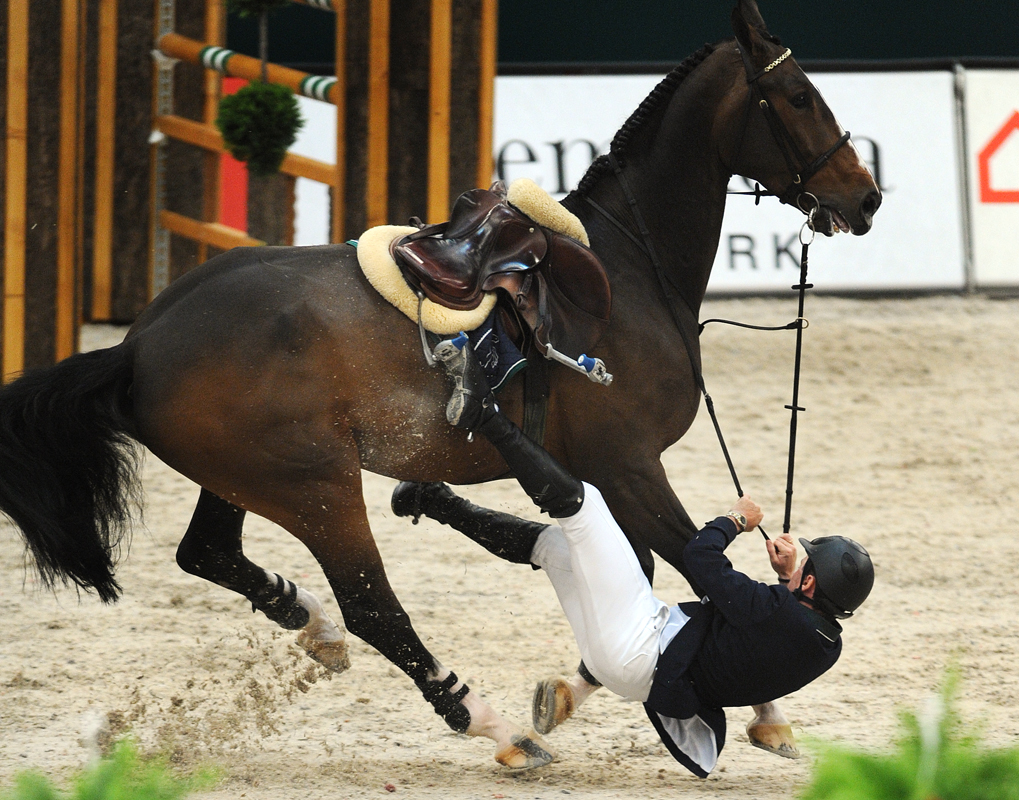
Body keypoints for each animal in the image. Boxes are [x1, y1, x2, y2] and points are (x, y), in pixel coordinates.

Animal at [0, 1, 876, 774]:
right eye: (800, 96)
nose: (864, 197)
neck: (626, 268)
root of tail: (138, 345)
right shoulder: (628, 466)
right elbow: (691, 565)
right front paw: (764, 713)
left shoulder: (607, 473)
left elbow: (649, 570)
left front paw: (573, 690)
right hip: (319, 489)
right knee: (373, 605)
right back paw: (489, 725)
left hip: (246, 477)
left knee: (209, 552)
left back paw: (313, 626)